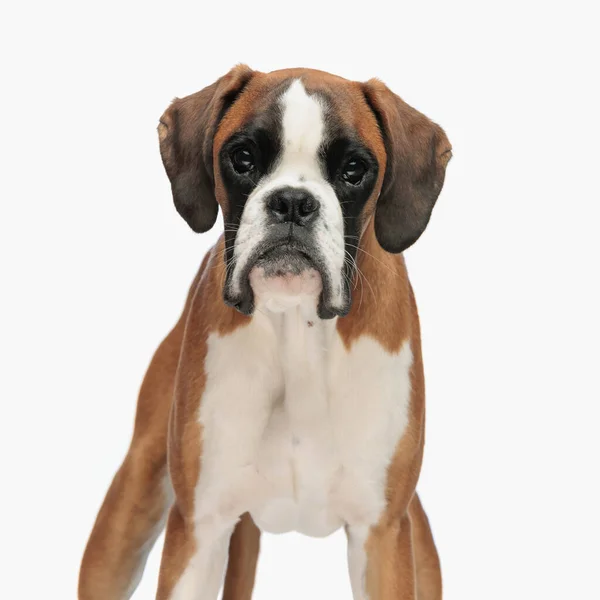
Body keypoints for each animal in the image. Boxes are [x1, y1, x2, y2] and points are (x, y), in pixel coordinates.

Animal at [81, 65, 454, 600]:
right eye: (243, 158)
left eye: (354, 169)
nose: (293, 202)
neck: (298, 326)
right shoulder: (198, 529)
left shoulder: (381, 535)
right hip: (130, 508)